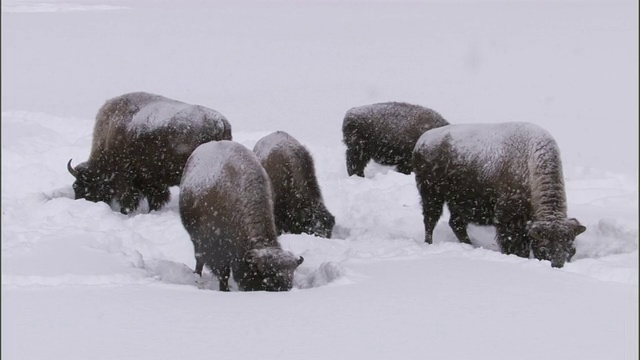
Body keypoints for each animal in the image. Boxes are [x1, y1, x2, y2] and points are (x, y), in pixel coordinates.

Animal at [176, 139, 304, 292]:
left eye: (289, 283)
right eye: (265, 280)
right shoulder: (217, 249)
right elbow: (223, 272)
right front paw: (225, 290)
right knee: (199, 259)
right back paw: (197, 275)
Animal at [412, 122, 588, 268]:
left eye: (572, 249)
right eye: (544, 247)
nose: (557, 265)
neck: (529, 165)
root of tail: (422, 141)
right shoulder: (509, 221)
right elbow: (514, 245)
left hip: (458, 203)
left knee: (456, 223)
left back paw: (469, 246)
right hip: (432, 196)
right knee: (430, 220)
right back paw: (429, 244)